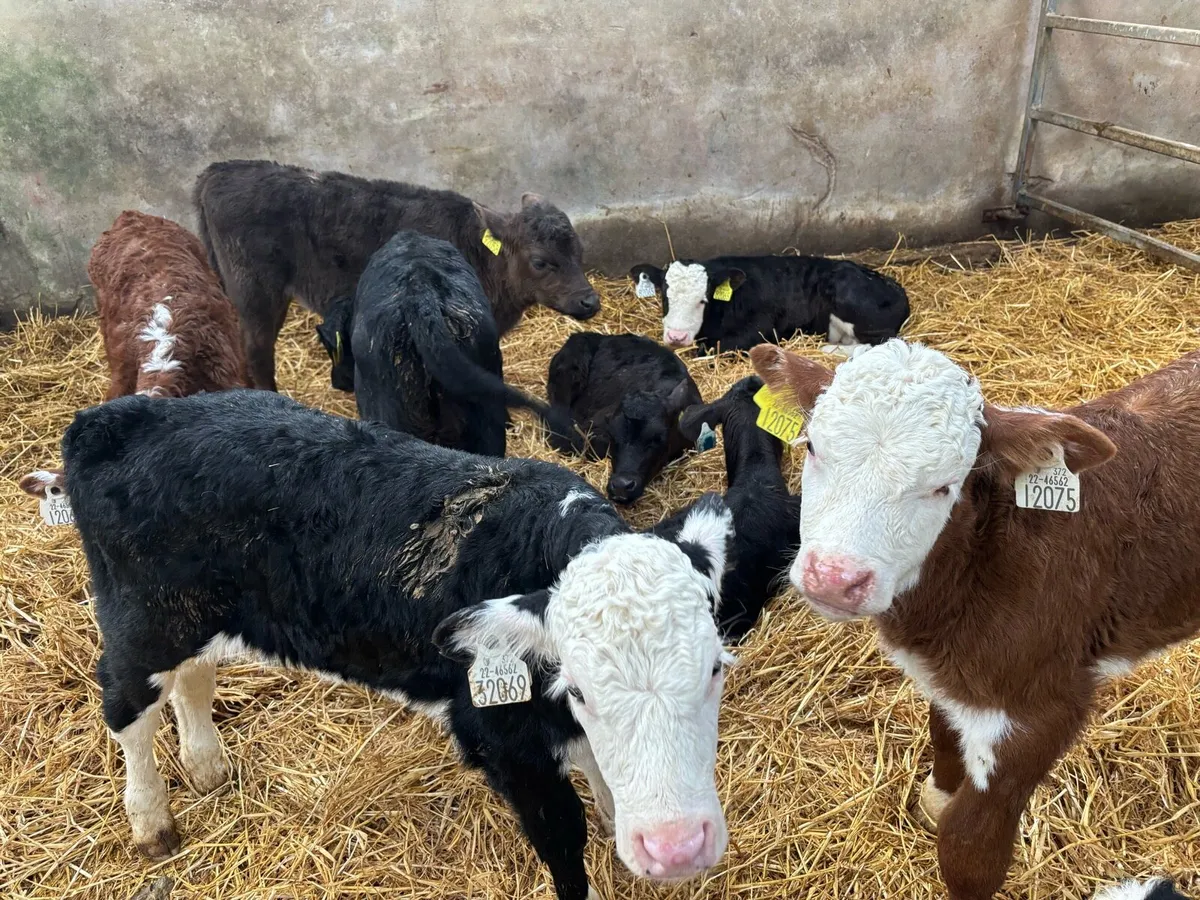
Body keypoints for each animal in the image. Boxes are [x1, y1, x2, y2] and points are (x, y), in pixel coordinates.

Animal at [60, 389, 735, 900]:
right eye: (583, 690)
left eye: (714, 671)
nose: (678, 848)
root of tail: (120, 417)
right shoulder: (503, 743)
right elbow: (565, 842)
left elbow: (608, 786)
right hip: (140, 620)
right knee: (127, 707)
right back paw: (152, 821)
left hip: (194, 617)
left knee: (191, 679)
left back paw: (206, 767)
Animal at [194, 159, 600, 390]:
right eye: (541, 261)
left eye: (579, 250)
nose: (590, 301)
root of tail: (220, 169)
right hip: (257, 293)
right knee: (257, 351)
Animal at [751, 339, 1200, 900]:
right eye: (811, 446)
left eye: (945, 486)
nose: (834, 577)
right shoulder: (948, 672)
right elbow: (943, 734)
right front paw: (937, 796)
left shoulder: (1040, 706)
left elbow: (968, 850)